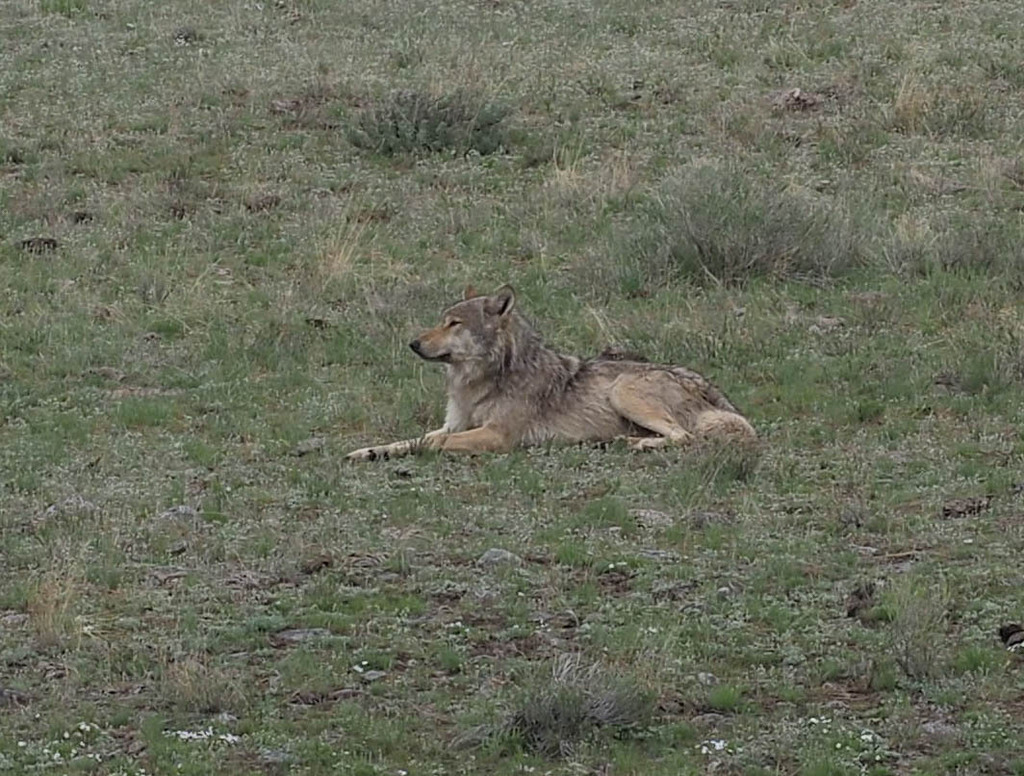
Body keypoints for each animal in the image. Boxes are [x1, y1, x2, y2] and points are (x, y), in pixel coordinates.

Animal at [345, 284, 755, 461]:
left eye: (454, 323)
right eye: (441, 320)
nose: (413, 343)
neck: (483, 381)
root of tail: (715, 394)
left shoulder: (495, 436)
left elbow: (429, 444)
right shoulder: (453, 426)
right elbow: (409, 439)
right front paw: (369, 451)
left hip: (623, 390)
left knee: (684, 437)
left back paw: (635, 445)